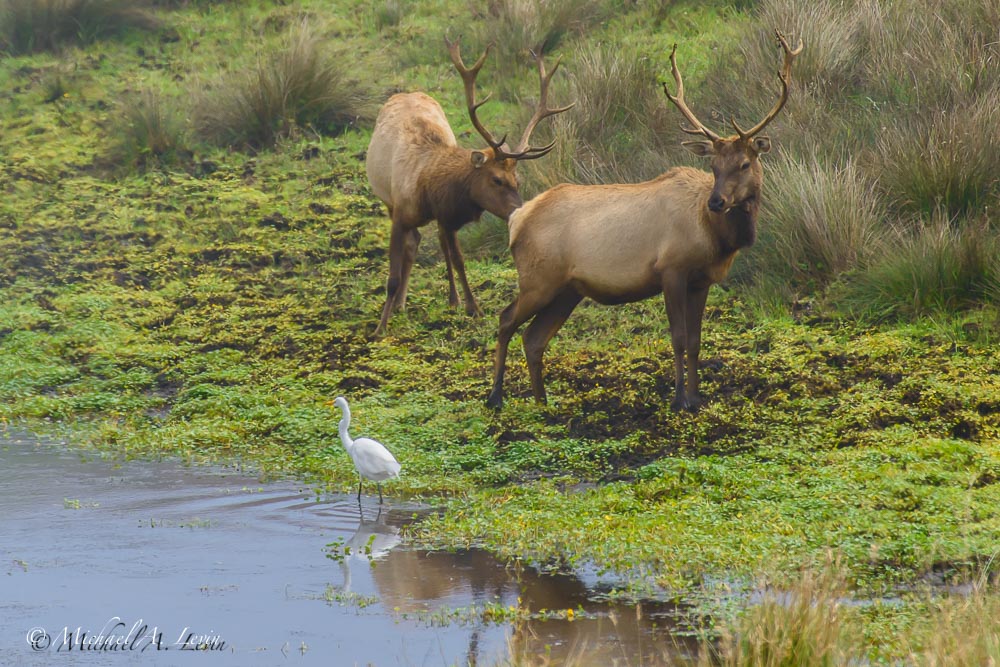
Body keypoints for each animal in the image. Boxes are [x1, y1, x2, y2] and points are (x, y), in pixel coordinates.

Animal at [366, 39, 572, 336]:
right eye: (496, 179)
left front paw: (473, 307)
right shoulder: (401, 212)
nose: (521, 210)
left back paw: (438, 301)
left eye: (518, 180)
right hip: (388, 202)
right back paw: (398, 305)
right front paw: (380, 327)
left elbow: (460, 260)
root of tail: (404, 92)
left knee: (429, 244)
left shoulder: (447, 218)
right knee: (413, 243)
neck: (428, 189)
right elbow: (392, 276)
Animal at [486, 34, 804, 414]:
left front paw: (696, 397)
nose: (717, 202)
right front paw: (679, 398)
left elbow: (696, 341)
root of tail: (518, 218)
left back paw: (543, 402)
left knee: (534, 338)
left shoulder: (701, 280)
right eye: (714, 166)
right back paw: (495, 397)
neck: (715, 236)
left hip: (567, 290)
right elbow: (678, 338)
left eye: (743, 164)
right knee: (506, 320)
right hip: (538, 279)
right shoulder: (671, 269)